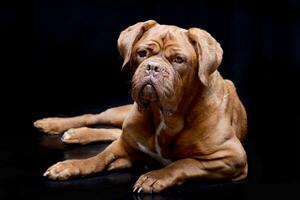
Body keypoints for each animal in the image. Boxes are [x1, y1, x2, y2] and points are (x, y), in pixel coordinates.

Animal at [34, 20, 247, 194]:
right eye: (142, 53)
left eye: (179, 60)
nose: (153, 66)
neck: (165, 116)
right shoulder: (123, 144)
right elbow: (99, 158)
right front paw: (70, 166)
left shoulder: (232, 158)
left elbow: (183, 163)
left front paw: (154, 177)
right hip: (120, 115)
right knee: (96, 118)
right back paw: (55, 125)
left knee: (114, 131)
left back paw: (76, 134)